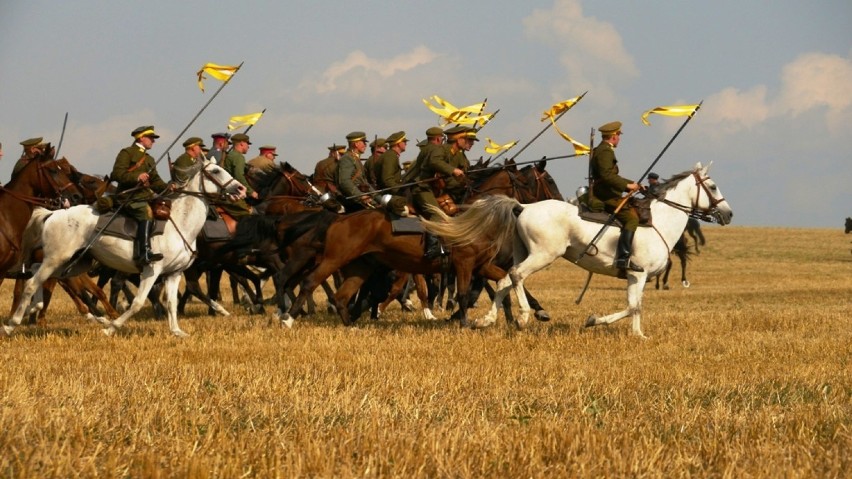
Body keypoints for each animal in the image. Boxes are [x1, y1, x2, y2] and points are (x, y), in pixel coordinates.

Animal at [6, 161, 245, 338]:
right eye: (215, 171)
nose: (241, 189)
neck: (180, 222)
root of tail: (52, 214)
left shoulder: (174, 273)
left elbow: (172, 303)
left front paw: (177, 331)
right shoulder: (152, 271)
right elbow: (137, 303)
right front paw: (111, 328)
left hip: (73, 264)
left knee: (40, 277)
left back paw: (34, 308)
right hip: (56, 259)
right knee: (32, 282)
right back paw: (11, 324)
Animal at [426, 163, 732, 336]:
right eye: (713, 186)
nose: (728, 214)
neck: (659, 222)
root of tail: (522, 206)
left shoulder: (636, 277)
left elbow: (634, 306)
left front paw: (637, 335)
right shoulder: (639, 274)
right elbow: (633, 306)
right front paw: (594, 320)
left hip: (523, 252)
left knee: (503, 280)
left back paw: (486, 321)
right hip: (542, 255)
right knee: (516, 275)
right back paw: (524, 317)